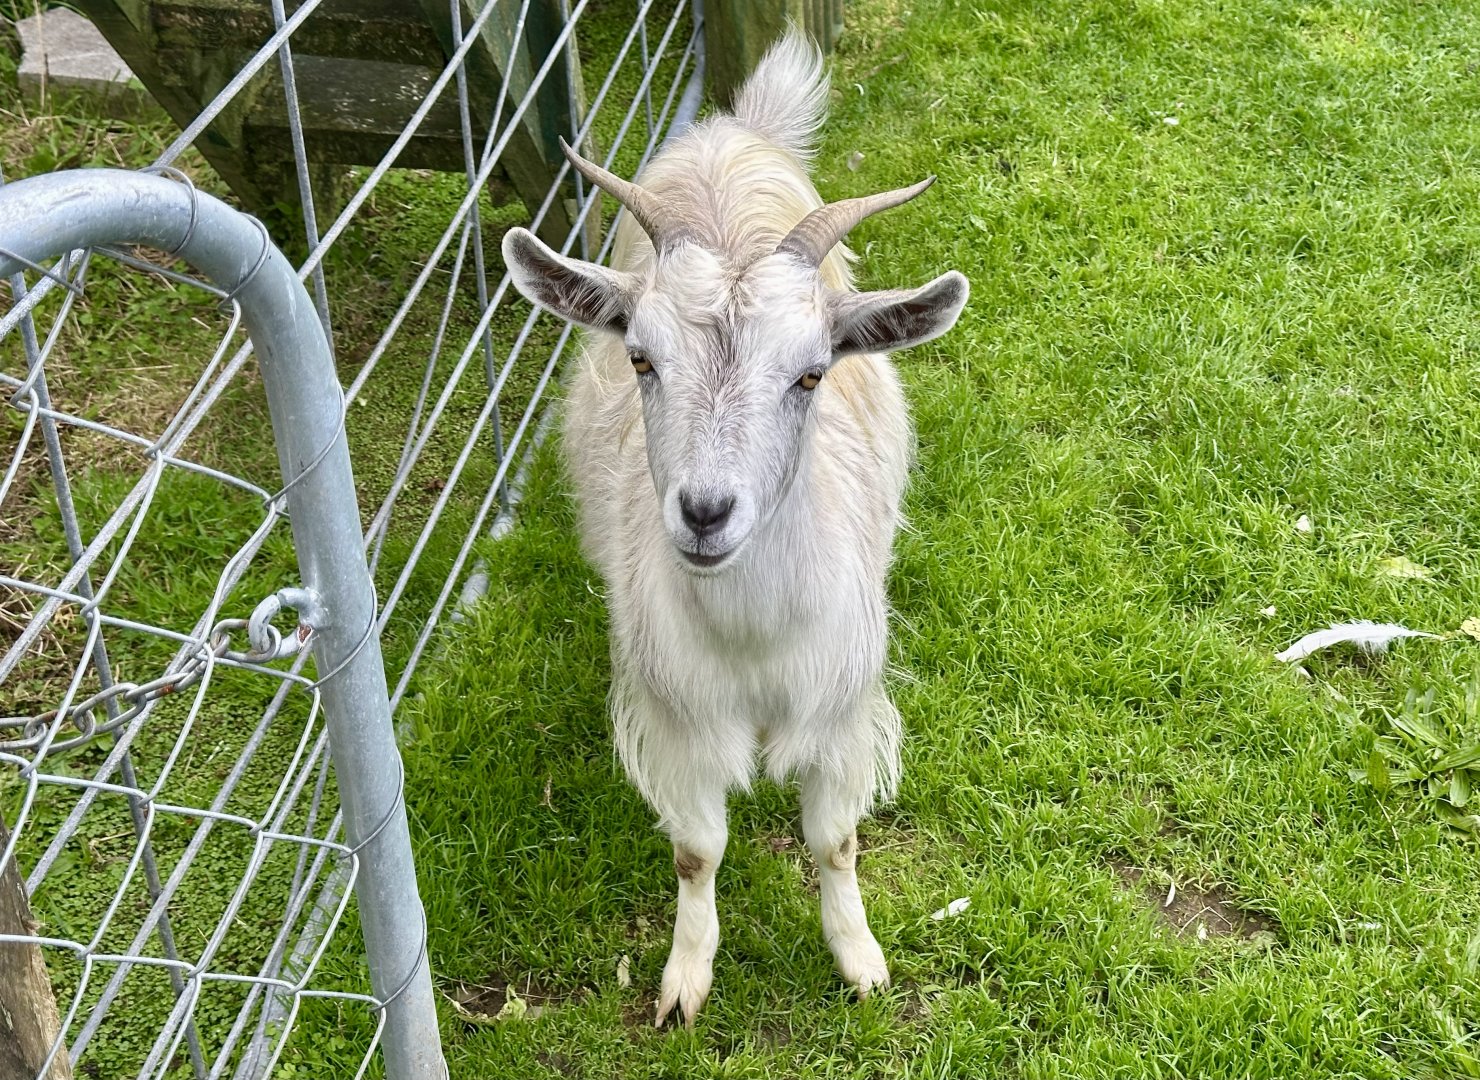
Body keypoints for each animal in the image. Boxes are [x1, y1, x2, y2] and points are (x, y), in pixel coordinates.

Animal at [501, 30, 968, 1026]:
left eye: (812, 373)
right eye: (641, 358)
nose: (705, 512)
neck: (754, 641)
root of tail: (729, 130)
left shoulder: (840, 709)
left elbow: (834, 841)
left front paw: (858, 958)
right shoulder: (679, 720)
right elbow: (697, 851)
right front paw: (686, 979)